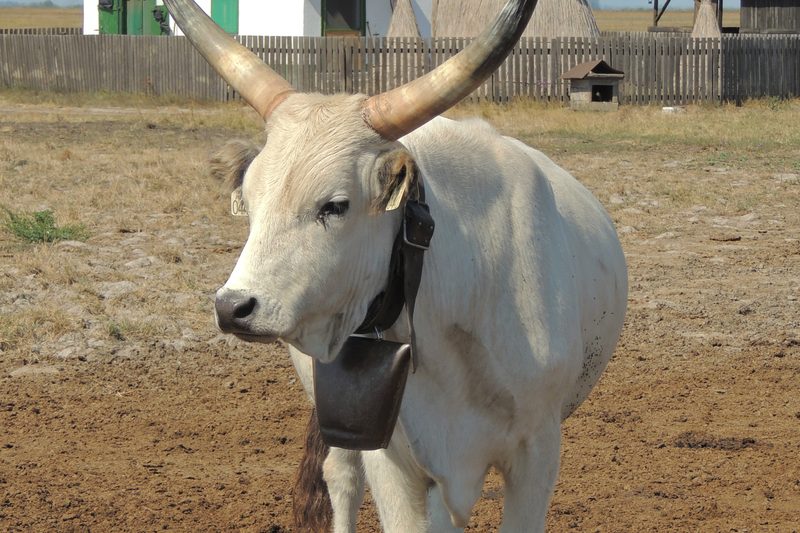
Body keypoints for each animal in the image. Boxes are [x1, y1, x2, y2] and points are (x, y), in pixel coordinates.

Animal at [165, 0, 628, 531]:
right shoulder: (387, 455)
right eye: (249, 200)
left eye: (335, 205)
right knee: (340, 475)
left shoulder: (537, 452)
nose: (233, 307)